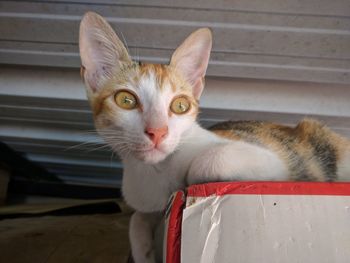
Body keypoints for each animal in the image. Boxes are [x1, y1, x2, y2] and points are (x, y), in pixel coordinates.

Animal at [79, 11, 350, 262]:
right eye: (126, 100)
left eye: (180, 106)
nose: (157, 131)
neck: (155, 173)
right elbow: (137, 219)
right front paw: (143, 252)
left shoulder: (273, 162)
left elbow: (205, 163)